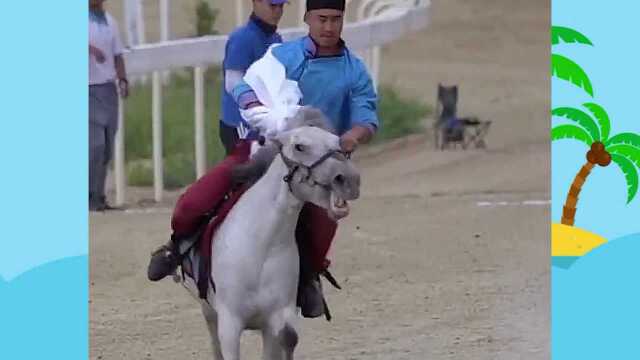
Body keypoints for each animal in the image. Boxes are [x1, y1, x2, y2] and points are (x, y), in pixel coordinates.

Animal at [185, 108, 360, 360]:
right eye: (300, 146)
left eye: (339, 144)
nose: (348, 180)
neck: (261, 246)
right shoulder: (229, 322)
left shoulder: (278, 316)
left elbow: (287, 339)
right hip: (208, 310)